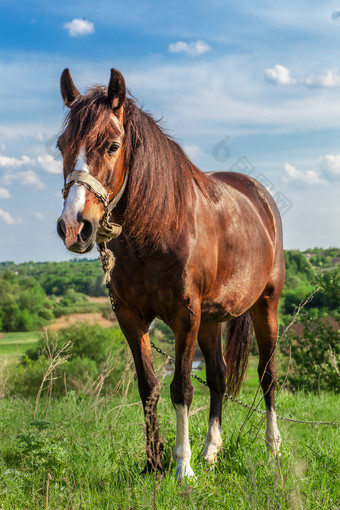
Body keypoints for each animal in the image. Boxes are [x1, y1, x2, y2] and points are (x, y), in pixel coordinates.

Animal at [57, 66, 286, 478]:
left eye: (112, 145)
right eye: (61, 146)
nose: (73, 226)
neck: (158, 228)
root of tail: (258, 195)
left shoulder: (185, 316)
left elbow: (181, 387)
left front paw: (182, 467)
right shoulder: (131, 317)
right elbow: (149, 385)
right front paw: (153, 462)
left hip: (266, 305)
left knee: (267, 374)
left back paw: (272, 448)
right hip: (210, 320)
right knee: (219, 377)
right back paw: (211, 450)